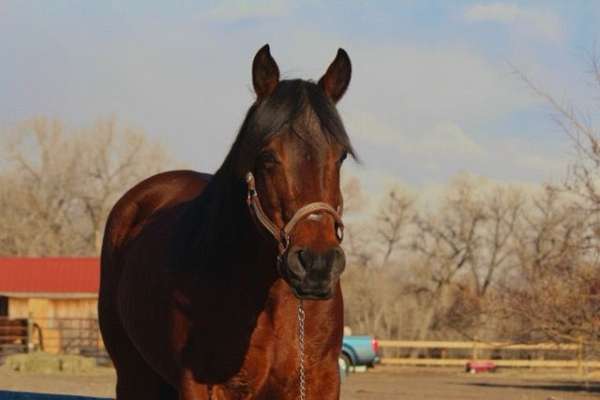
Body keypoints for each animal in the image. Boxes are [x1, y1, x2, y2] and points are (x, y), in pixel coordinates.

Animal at [99, 45, 356, 398]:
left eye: (340, 155)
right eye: (267, 156)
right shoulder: (200, 385)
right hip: (133, 375)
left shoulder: (322, 382)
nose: (317, 265)